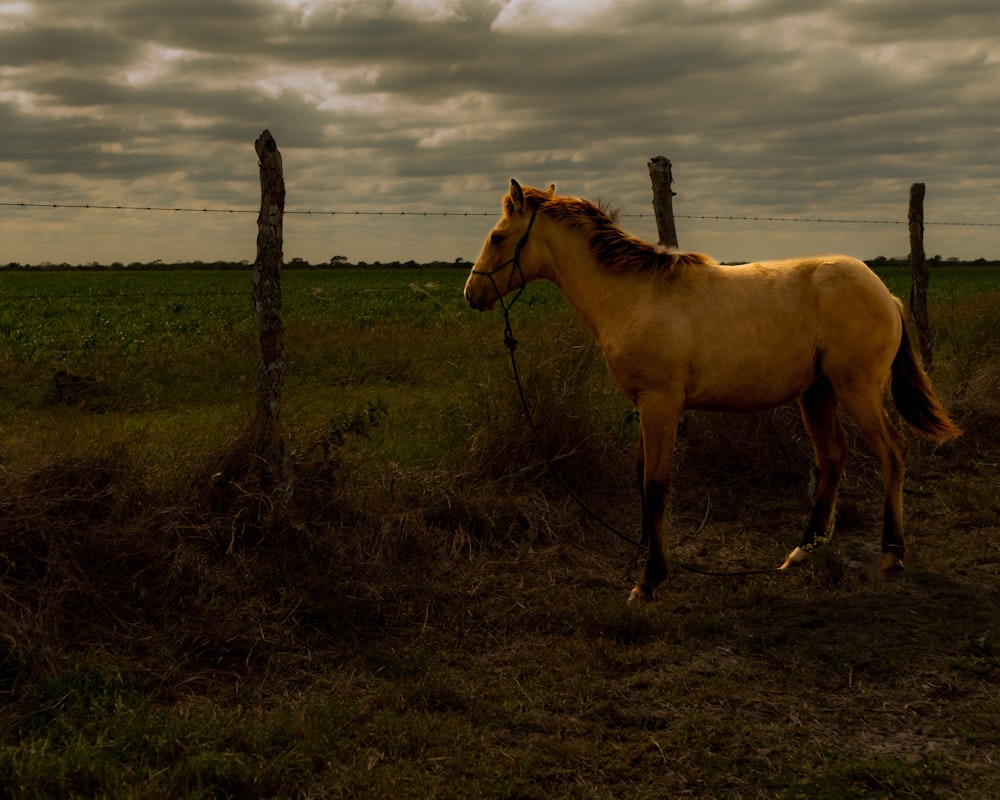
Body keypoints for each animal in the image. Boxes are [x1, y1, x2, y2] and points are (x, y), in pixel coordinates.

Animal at [460, 177, 960, 600]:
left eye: (498, 237)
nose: (470, 294)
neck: (636, 295)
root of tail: (886, 293)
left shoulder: (661, 405)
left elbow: (656, 484)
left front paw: (650, 580)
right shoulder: (646, 407)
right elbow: (642, 478)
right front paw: (647, 558)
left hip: (857, 390)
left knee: (891, 453)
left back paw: (891, 557)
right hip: (817, 393)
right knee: (833, 457)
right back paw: (803, 551)